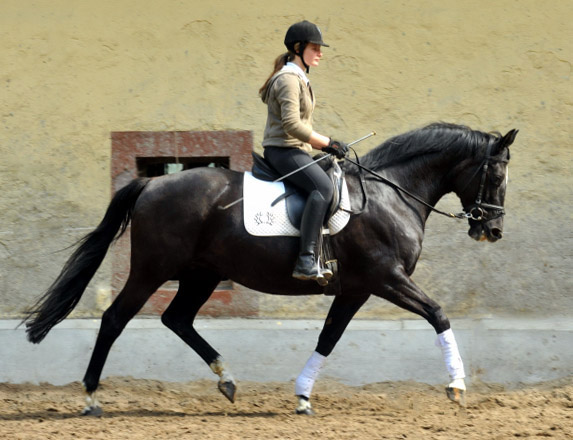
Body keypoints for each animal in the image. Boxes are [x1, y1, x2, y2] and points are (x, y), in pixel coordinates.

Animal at [22, 122, 516, 414]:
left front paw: (302, 395)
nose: (492, 230)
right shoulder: (386, 278)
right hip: (152, 270)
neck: (392, 194)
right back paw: (91, 396)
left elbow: (329, 338)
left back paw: (227, 381)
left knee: (177, 319)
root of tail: (151, 184)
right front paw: (457, 386)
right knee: (114, 319)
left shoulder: (355, 288)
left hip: (201, 273)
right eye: (496, 175)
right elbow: (438, 314)